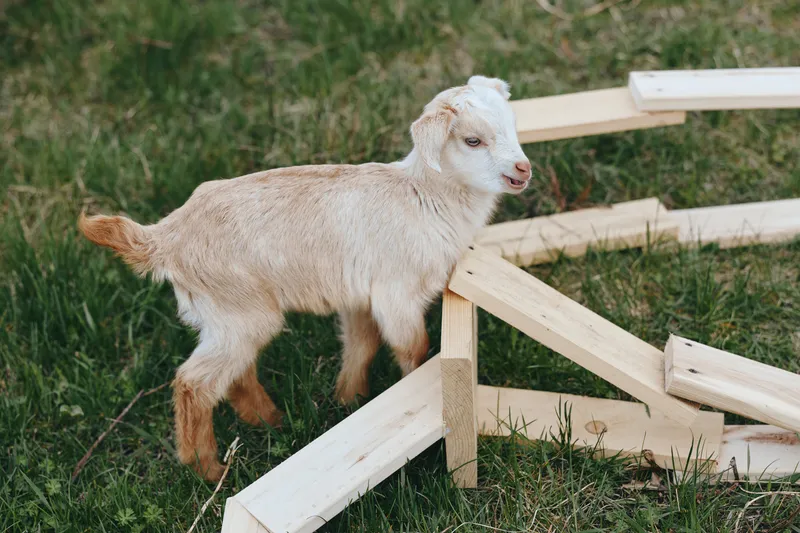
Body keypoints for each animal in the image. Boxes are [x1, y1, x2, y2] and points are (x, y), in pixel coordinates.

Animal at [78, 75, 532, 481]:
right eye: (472, 140)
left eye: (512, 125)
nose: (523, 169)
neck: (424, 198)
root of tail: (164, 237)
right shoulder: (397, 293)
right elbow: (413, 348)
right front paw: (411, 395)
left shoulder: (359, 296)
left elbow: (361, 344)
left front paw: (349, 397)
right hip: (239, 307)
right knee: (193, 383)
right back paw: (206, 468)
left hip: (227, 316)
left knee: (235, 373)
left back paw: (269, 420)